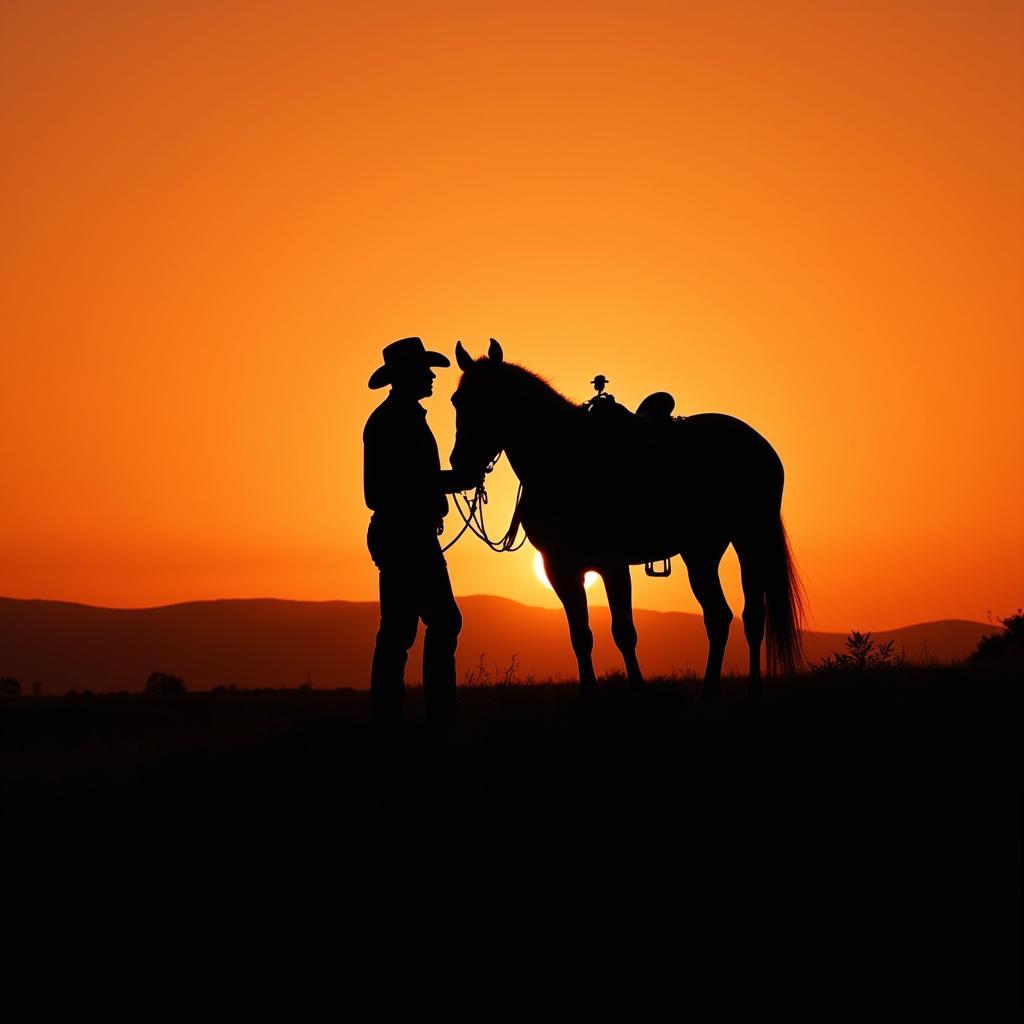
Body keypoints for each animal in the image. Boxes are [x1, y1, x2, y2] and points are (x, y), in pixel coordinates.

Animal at [452, 339, 802, 700]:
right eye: (456, 401)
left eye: (490, 400)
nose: (460, 466)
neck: (566, 459)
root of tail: (759, 445)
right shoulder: (559, 568)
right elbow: (580, 636)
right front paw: (589, 696)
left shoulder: (612, 563)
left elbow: (623, 632)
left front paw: (638, 692)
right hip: (701, 552)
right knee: (718, 617)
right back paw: (708, 692)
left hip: (751, 539)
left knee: (753, 615)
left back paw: (754, 691)